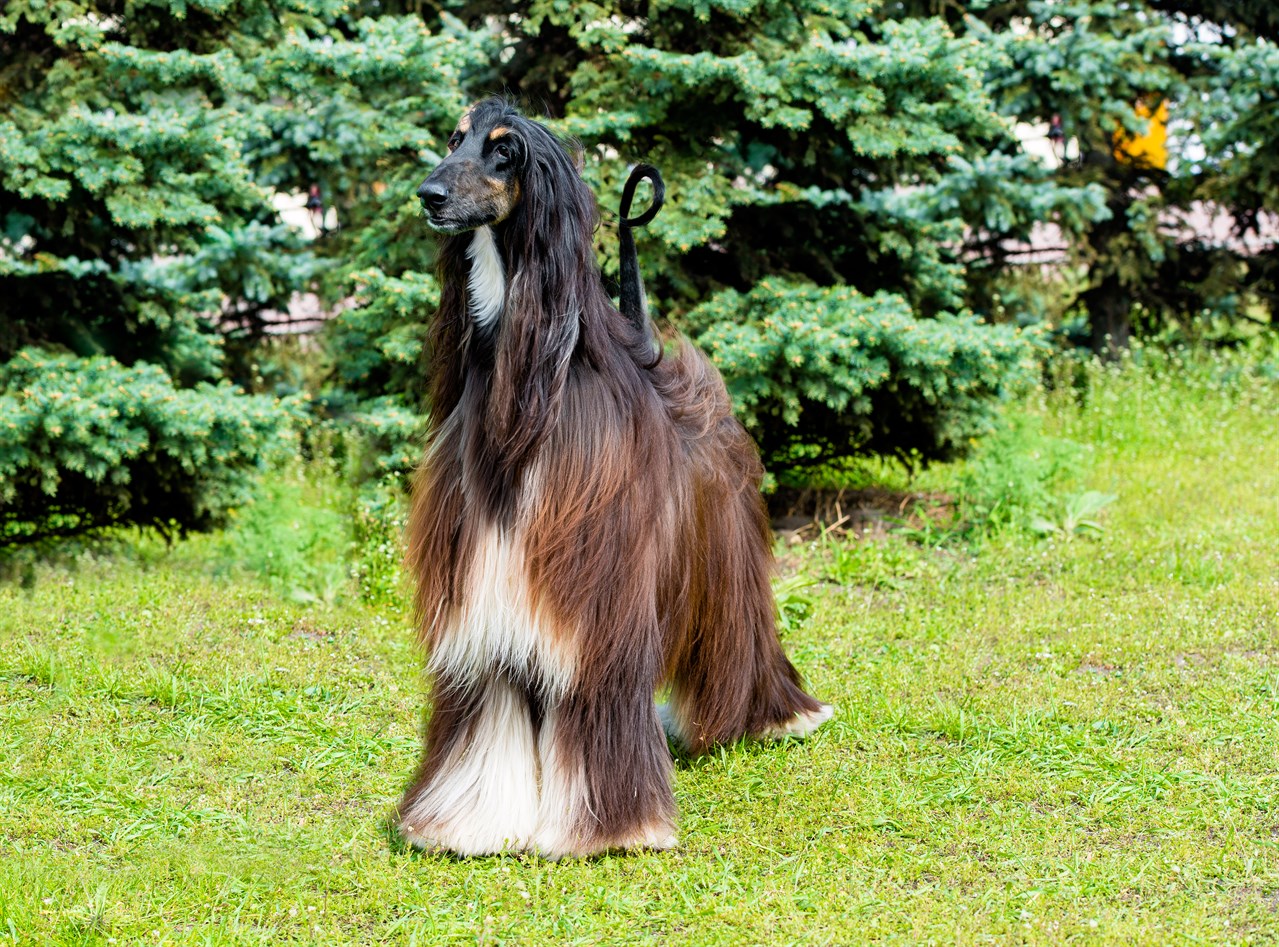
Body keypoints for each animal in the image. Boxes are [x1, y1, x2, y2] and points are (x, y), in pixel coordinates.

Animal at [404, 97, 833, 859]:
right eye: (454, 140)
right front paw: (467, 825)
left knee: (743, 638)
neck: (528, 384)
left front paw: (611, 829)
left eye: (504, 152)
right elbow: (487, 723)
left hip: (726, 563)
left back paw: (780, 716)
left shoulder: (596, 613)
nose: (429, 194)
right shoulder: (488, 608)